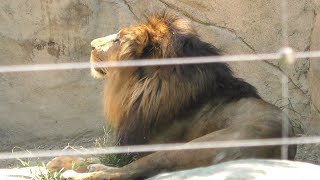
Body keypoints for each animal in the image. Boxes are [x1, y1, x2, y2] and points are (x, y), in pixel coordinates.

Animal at [48, 13, 296, 180]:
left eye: (118, 40)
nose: (91, 45)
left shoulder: (136, 147)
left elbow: (107, 158)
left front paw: (66, 161)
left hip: (185, 148)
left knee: (124, 172)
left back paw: (73, 171)